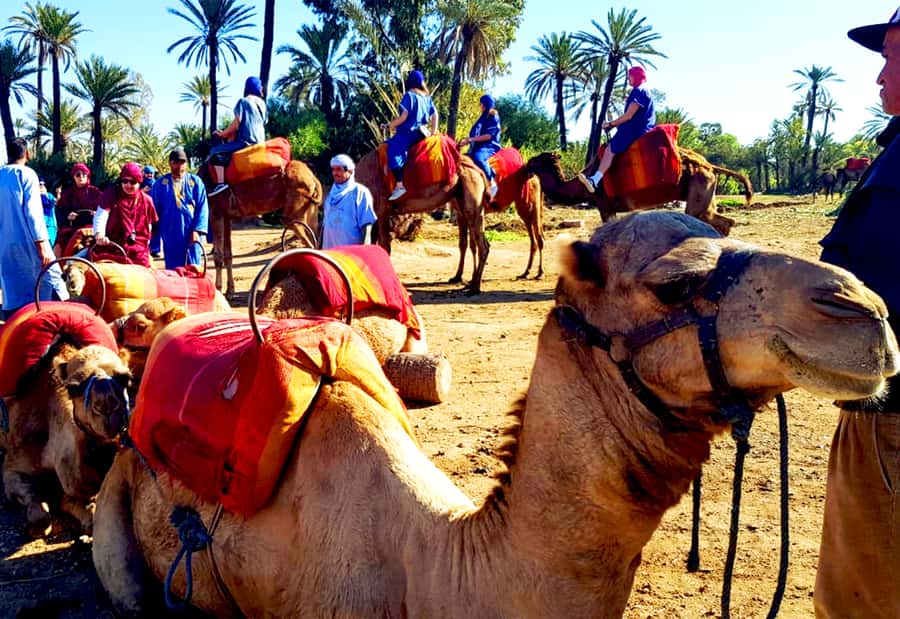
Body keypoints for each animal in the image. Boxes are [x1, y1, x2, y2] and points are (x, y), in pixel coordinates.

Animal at [355, 146, 491, 294]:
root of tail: (478, 170)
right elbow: (371, 246)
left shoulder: (382, 209)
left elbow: (384, 246)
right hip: (461, 199)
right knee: (471, 241)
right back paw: (463, 280)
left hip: (472, 194)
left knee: (482, 245)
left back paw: (475, 287)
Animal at [525, 149, 752, 236]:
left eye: (537, 159)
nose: (526, 163)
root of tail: (710, 166)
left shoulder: (604, 204)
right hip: (705, 189)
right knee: (722, 220)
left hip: (700, 185)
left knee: (705, 217)